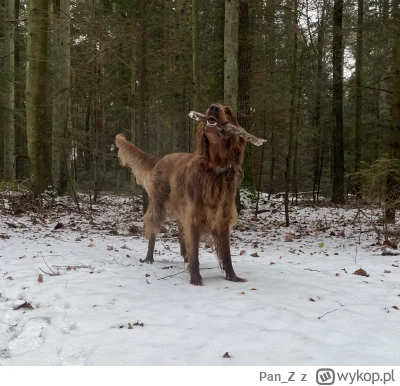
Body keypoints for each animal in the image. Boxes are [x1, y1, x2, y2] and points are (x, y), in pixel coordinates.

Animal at [115, 104, 247, 284]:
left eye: (228, 111)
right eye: (211, 107)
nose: (213, 108)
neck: (214, 170)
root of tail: (160, 159)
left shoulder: (222, 216)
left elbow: (226, 254)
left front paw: (233, 277)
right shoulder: (195, 215)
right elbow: (196, 252)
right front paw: (196, 278)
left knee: (181, 232)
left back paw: (185, 256)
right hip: (158, 203)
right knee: (153, 229)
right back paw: (149, 258)